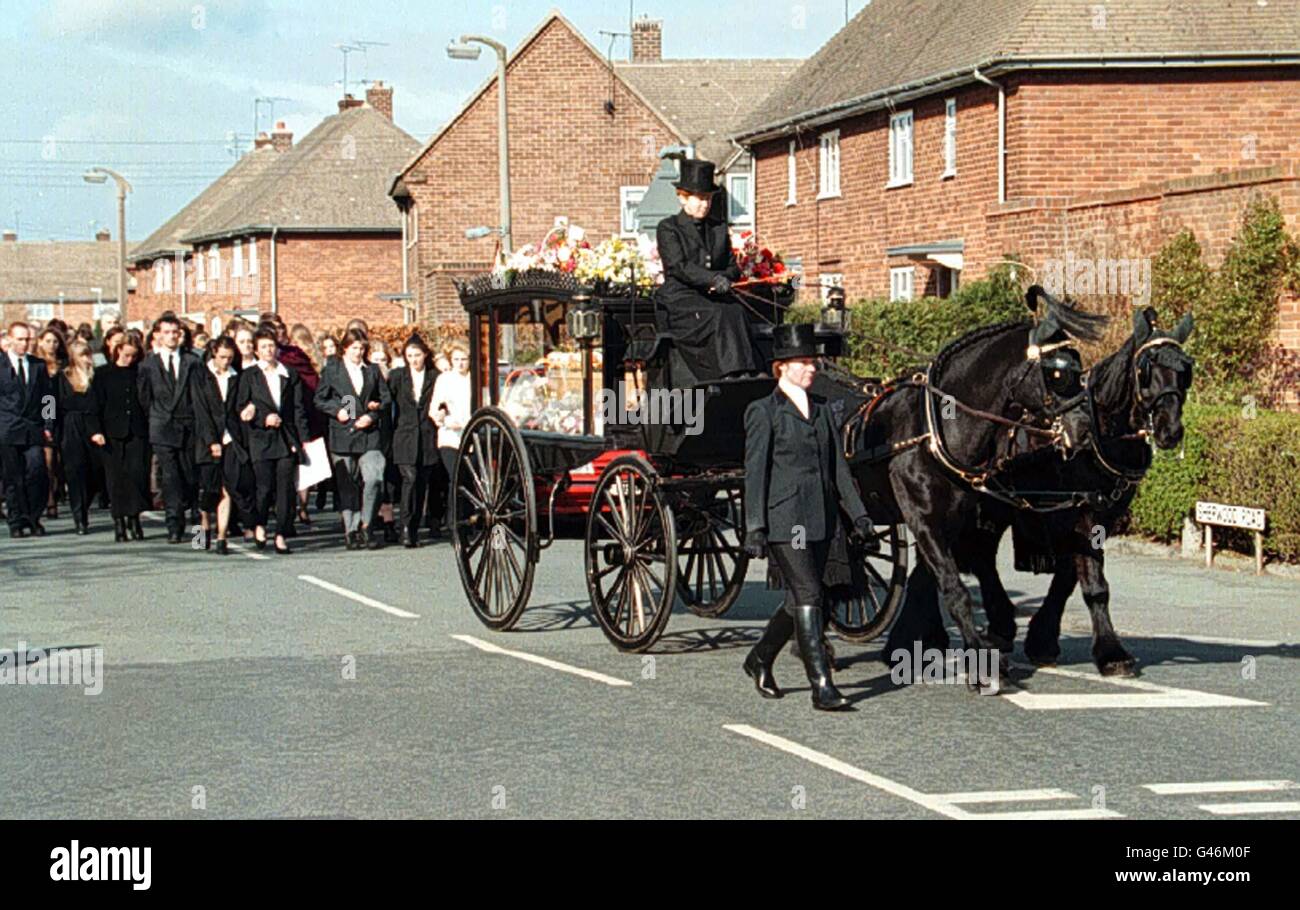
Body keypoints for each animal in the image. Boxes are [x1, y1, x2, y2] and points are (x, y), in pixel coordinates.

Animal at [889, 305, 1190, 676]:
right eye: (1146, 369)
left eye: (1186, 371)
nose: (1170, 430)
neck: (1099, 436)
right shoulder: (1072, 514)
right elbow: (1090, 581)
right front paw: (1109, 652)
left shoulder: (1098, 515)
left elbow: (1071, 577)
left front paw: (1047, 640)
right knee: (950, 558)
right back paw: (921, 636)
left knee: (976, 557)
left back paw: (992, 628)